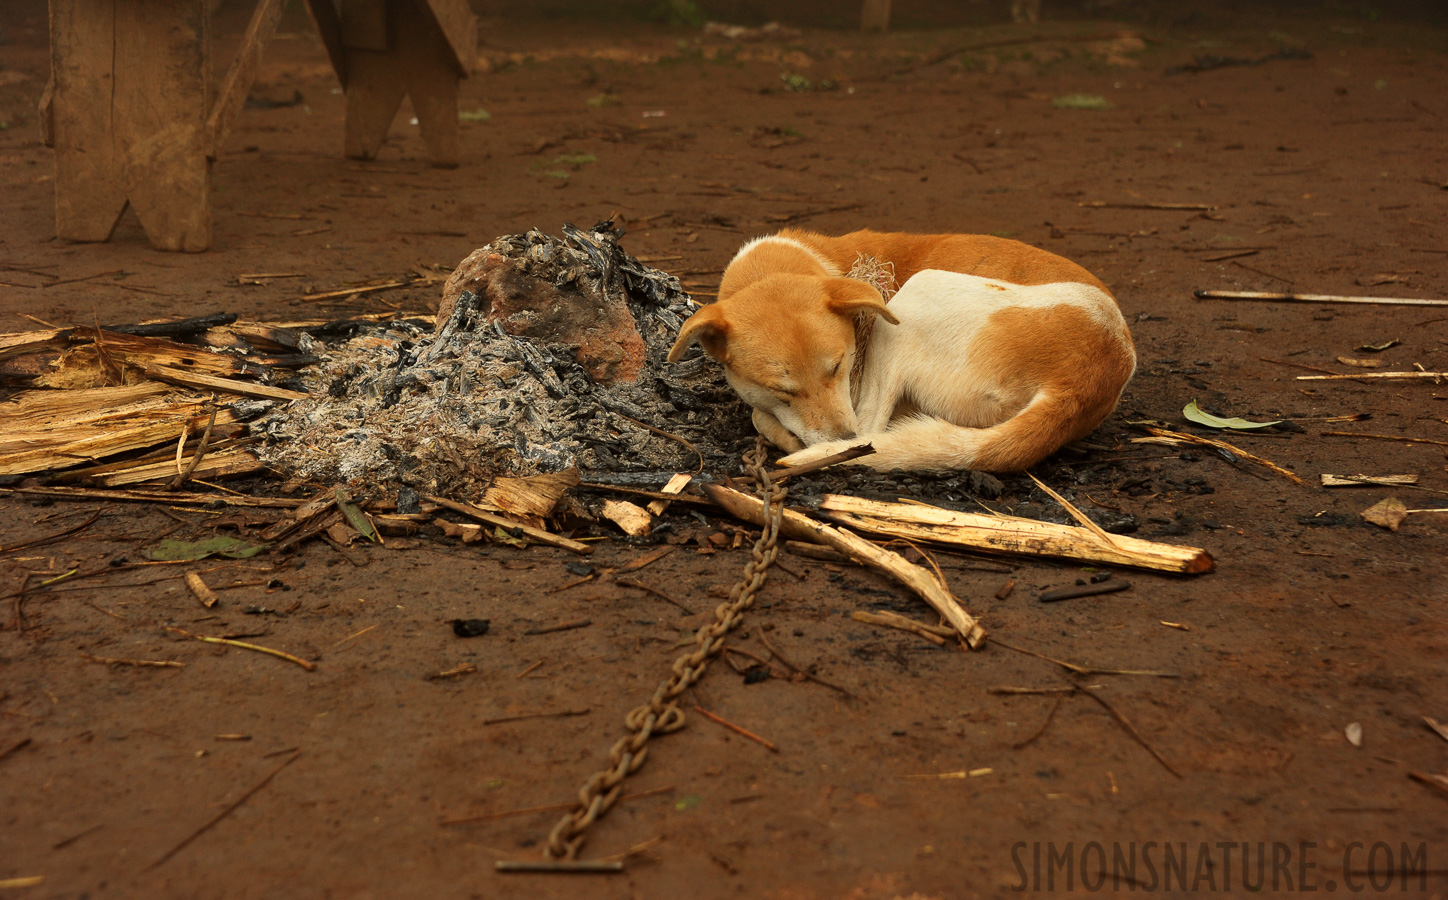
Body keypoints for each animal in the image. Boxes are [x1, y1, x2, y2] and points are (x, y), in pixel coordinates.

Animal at [663, 228, 1129, 477]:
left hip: (915, 298)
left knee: (872, 427)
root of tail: (1080, 381)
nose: (842, 442)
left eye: (840, 366)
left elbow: (761, 416)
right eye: (784, 390)